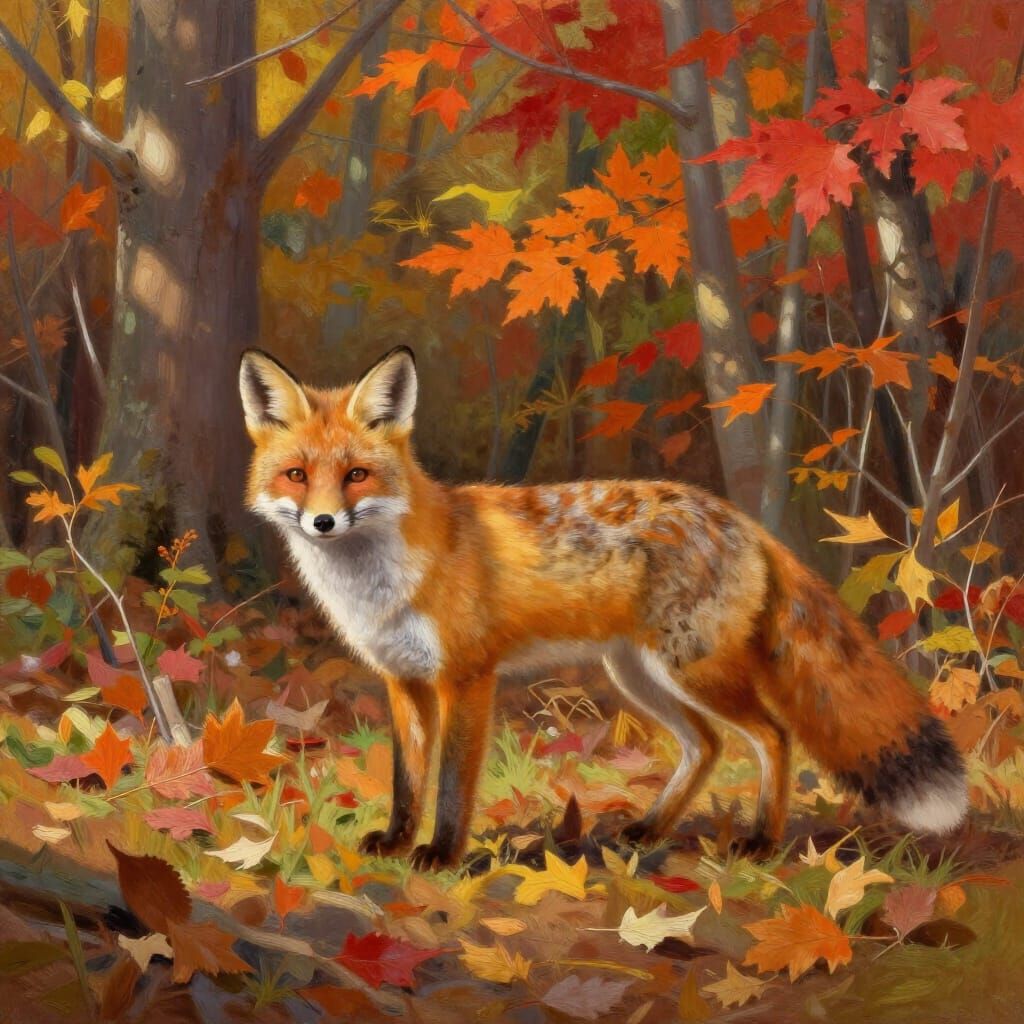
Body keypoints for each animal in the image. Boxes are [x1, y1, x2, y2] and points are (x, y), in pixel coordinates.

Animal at [239, 345, 967, 870]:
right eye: (297, 475)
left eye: (356, 475)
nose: (323, 522)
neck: (381, 584)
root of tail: (740, 520)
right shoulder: (404, 681)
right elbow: (406, 781)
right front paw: (395, 842)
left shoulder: (467, 679)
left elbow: (448, 786)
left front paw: (440, 855)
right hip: (640, 675)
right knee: (705, 746)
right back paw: (649, 829)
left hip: (692, 670)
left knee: (773, 736)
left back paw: (761, 841)